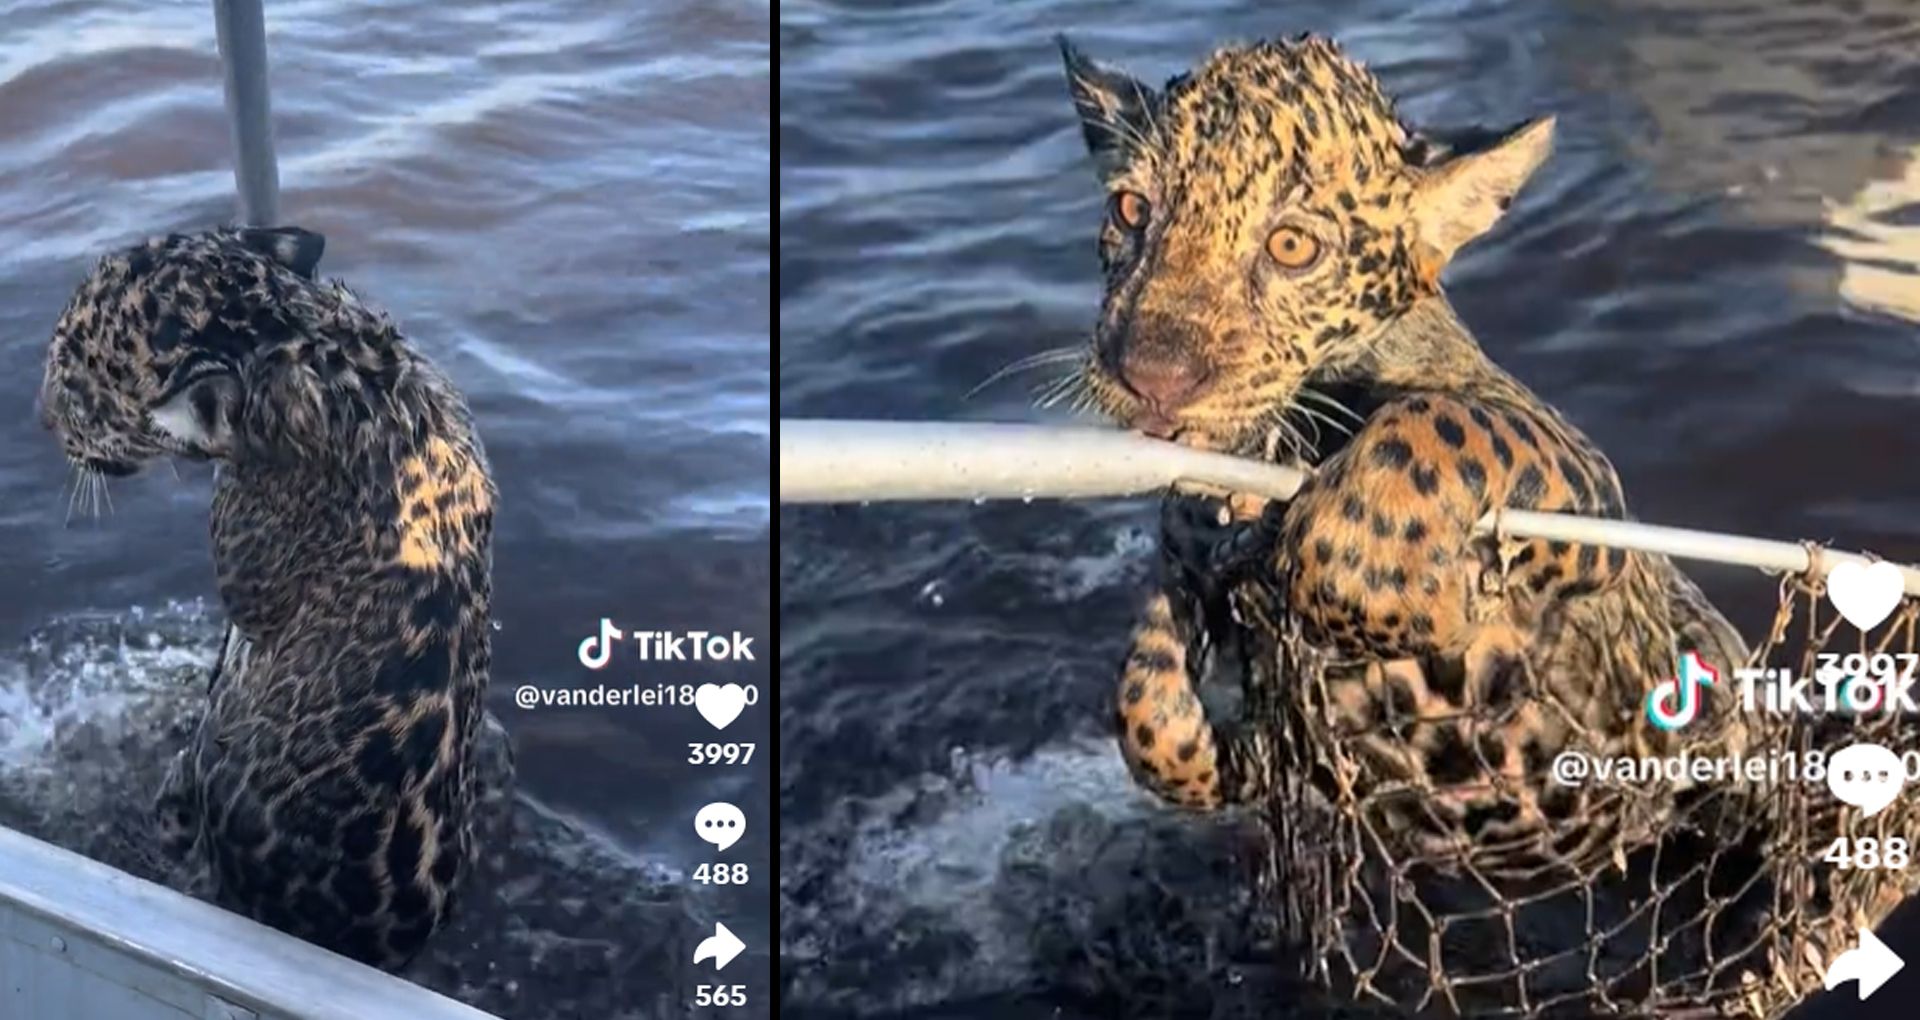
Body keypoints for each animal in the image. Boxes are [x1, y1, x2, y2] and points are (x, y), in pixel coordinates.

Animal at [1055, 34, 1911, 1015]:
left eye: (1293, 246)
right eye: (1129, 209)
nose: (1150, 374)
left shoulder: (1580, 483)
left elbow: (1437, 426)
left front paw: (1377, 575)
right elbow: (1148, 714)